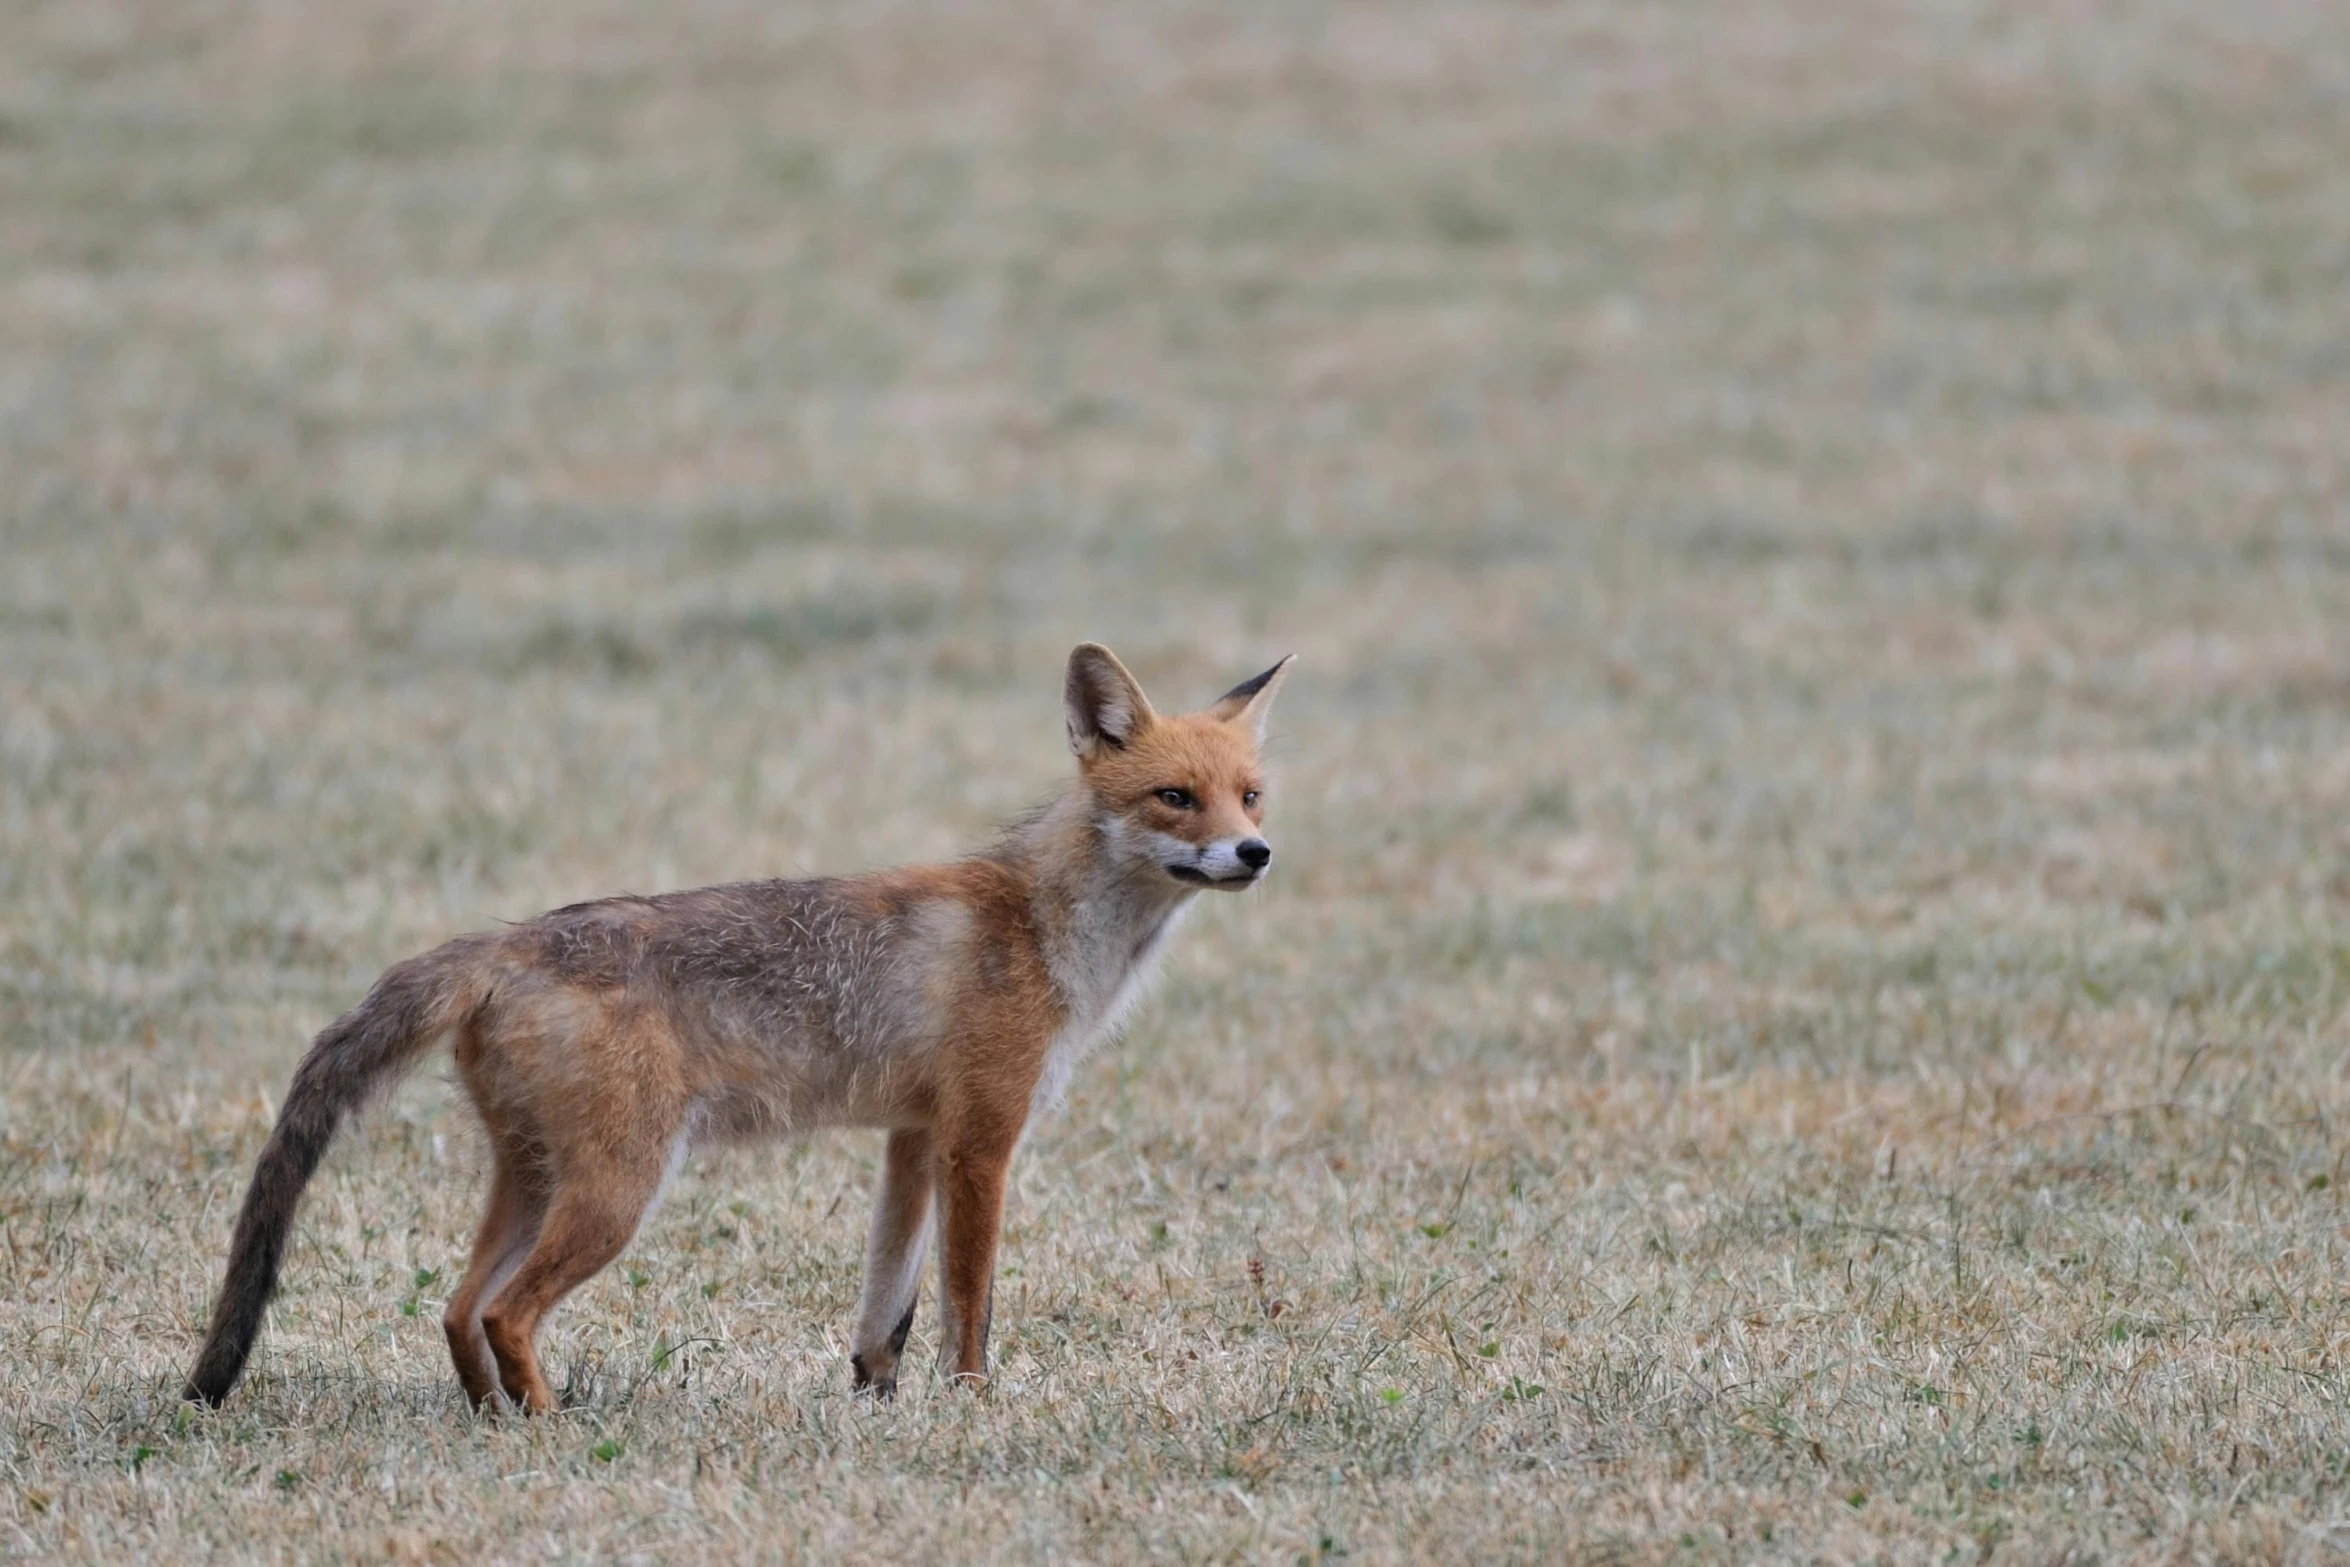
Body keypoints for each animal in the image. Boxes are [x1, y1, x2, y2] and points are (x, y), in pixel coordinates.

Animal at [183, 643, 1297, 1418]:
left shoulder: (910, 1137)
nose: (1255, 852)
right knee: (504, 1311)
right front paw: (974, 1405)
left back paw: (493, 1418)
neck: (1043, 925)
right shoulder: (981, 1138)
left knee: (458, 1309)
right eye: (1174, 797)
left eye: (1250, 794)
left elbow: (886, 1304)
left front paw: (877, 1401)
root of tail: (501, 942)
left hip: (536, 1180)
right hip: (619, 1190)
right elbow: (968, 1302)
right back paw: (550, 1425)